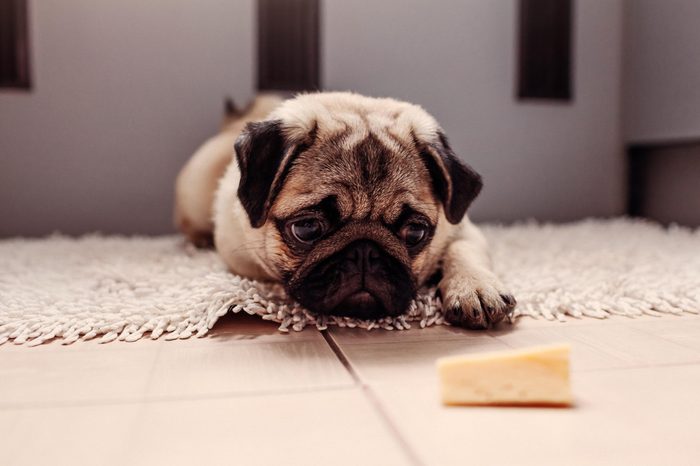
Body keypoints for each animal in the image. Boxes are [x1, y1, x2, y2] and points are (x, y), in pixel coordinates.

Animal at [175, 93, 516, 330]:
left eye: (415, 232)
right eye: (307, 229)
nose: (365, 252)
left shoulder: (462, 227)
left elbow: (463, 250)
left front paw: (476, 288)